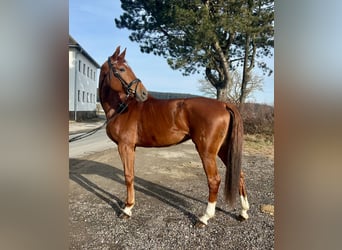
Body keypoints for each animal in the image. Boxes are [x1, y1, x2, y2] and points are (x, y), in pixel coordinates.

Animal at [98, 46, 248, 227]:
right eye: (121, 69)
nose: (143, 93)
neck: (121, 107)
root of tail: (224, 104)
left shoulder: (124, 146)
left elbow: (128, 176)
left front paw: (127, 209)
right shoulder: (130, 147)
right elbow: (131, 175)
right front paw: (129, 205)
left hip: (207, 152)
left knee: (214, 180)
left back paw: (204, 217)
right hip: (224, 149)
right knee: (239, 174)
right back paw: (243, 213)